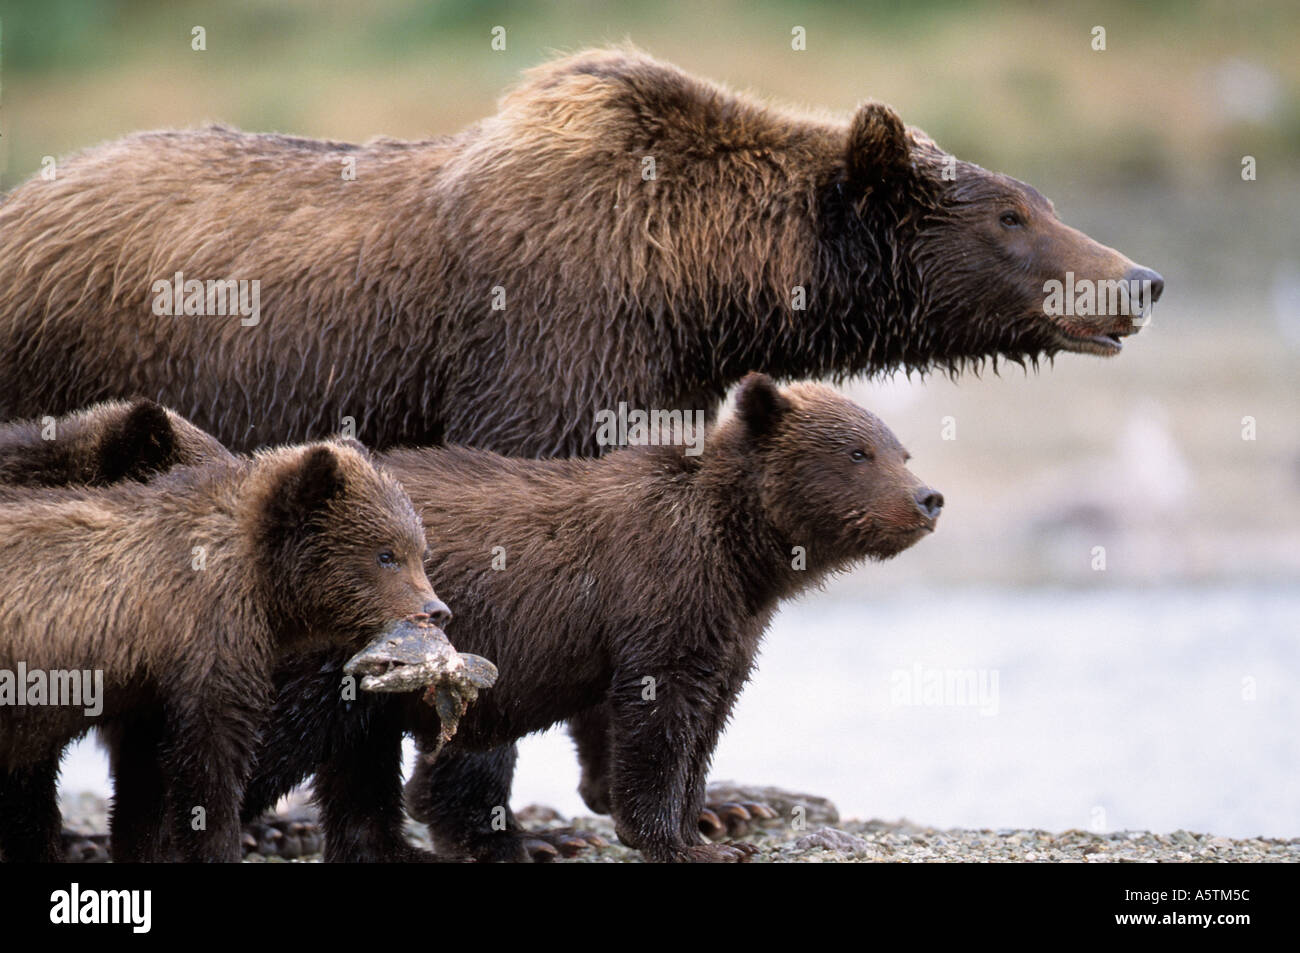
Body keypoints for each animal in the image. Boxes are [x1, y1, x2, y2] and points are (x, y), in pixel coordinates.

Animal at [0, 440, 448, 862]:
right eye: (386, 554)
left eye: (421, 551)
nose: (436, 611)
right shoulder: (209, 645)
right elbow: (210, 769)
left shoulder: (153, 693)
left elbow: (144, 785)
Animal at [231, 374, 943, 862]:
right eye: (858, 453)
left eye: (900, 450)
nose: (928, 497)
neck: (741, 553)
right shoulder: (660, 593)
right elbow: (659, 718)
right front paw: (681, 839)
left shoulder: (730, 624)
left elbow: (702, 719)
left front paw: (706, 822)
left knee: (358, 764)